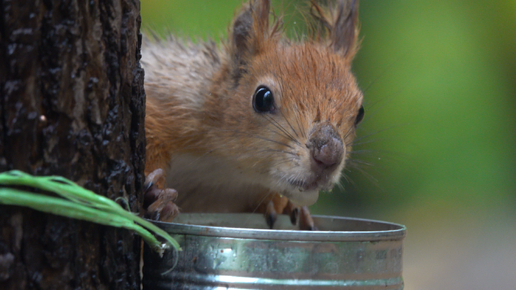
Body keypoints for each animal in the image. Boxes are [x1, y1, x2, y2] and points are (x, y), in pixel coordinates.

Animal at [143, 0, 364, 230]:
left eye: (360, 113)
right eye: (262, 98)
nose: (329, 155)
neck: (228, 168)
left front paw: (286, 206)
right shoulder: (171, 103)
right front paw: (157, 196)